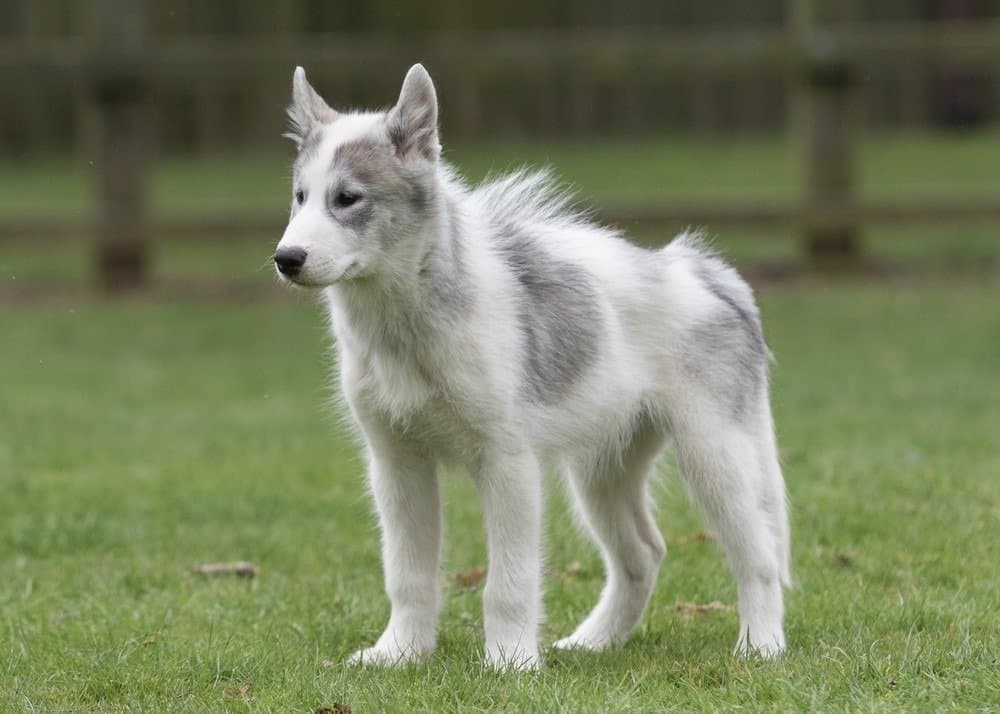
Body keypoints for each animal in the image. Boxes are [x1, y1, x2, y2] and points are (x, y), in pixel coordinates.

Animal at [274, 62, 788, 668]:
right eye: (300, 197)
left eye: (348, 198)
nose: (285, 259)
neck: (406, 324)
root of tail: (704, 270)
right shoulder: (397, 463)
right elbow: (407, 573)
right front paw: (399, 653)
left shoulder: (508, 463)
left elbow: (509, 581)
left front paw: (510, 662)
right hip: (604, 468)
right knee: (642, 554)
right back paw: (595, 641)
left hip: (715, 454)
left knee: (758, 555)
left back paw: (761, 646)